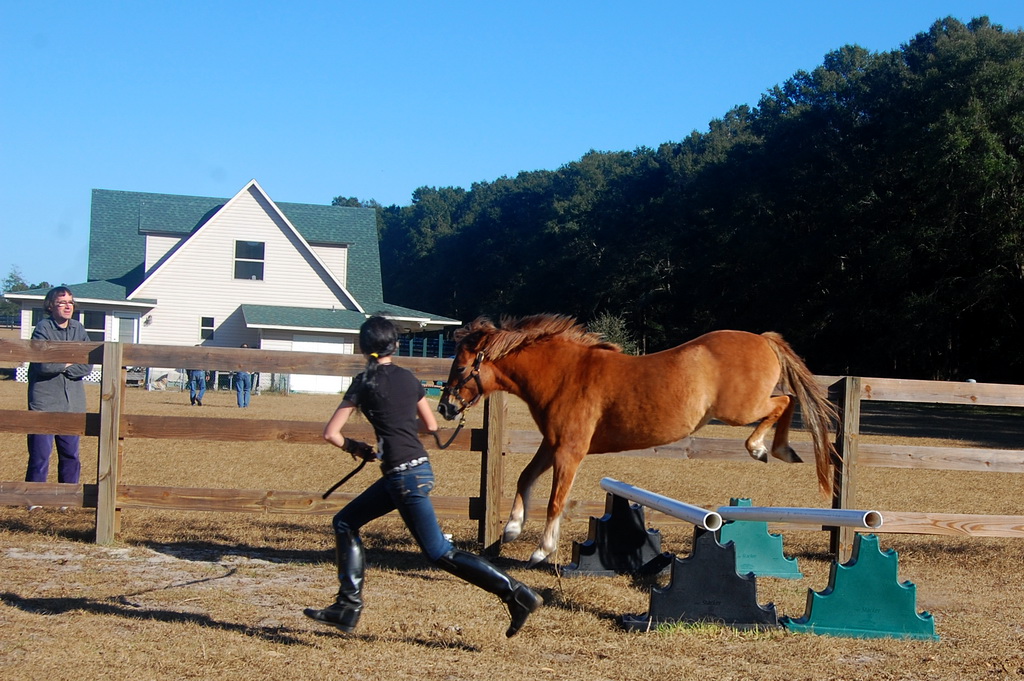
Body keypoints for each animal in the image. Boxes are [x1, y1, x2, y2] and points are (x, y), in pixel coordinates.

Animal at [436, 313, 835, 561]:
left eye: (461, 366)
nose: (445, 407)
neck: (565, 374)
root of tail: (764, 340)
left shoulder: (570, 451)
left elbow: (555, 500)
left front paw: (542, 549)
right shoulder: (553, 444)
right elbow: (524, 478)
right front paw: (512, 529)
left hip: (740, 409)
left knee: (786, 400)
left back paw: (764, 448)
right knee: (787, 401)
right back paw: (778, 449)